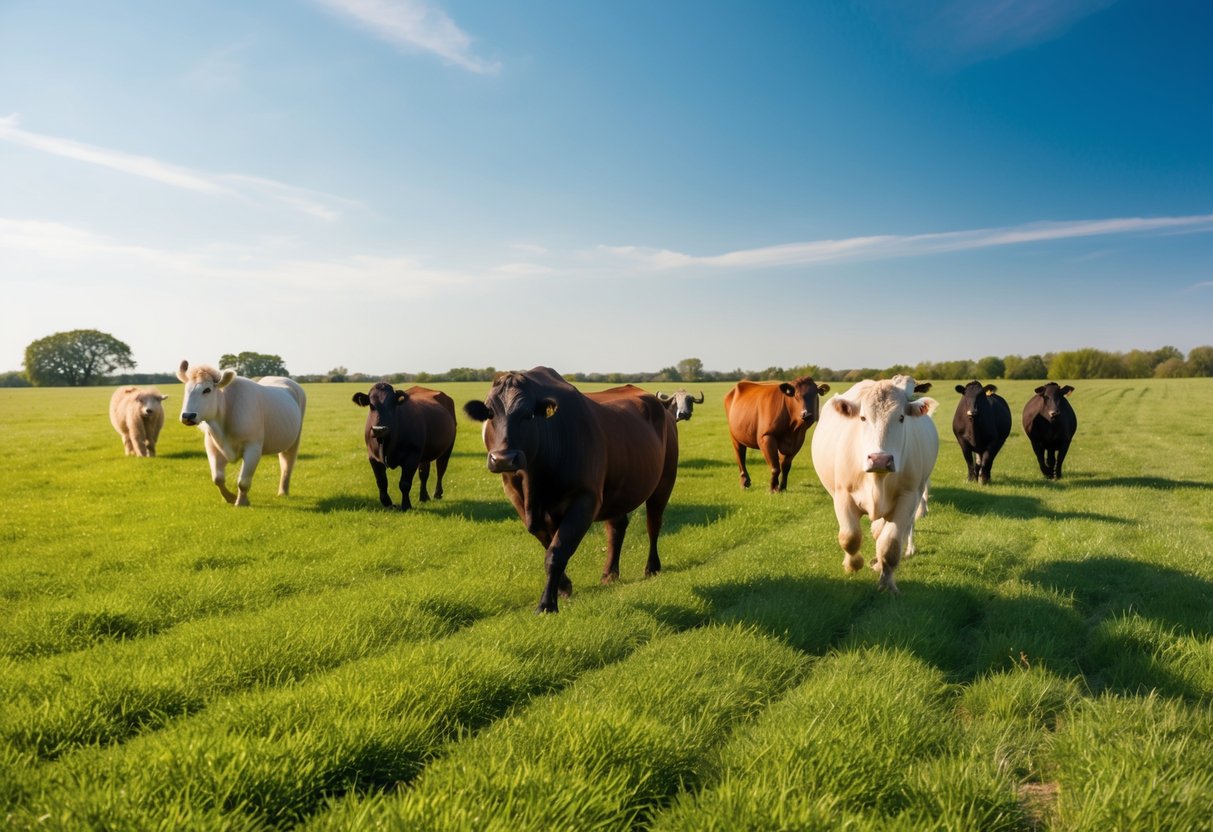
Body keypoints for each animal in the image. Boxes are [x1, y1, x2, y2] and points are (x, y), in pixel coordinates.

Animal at [177, 358, 305, 509]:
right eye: (186, 389)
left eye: (207, 390)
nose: (188, 416)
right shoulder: (212, 446)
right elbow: (217, 478)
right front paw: (230, 497)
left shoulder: (253, 447)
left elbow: (243, 481)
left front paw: (241, 502)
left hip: (295, 439)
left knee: (287, 464)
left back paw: (283, 491)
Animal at [356, 383, 460, 511]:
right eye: (371, 405)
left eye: (392, 404)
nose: (379, 429)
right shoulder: (373, 457)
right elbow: (381, 482)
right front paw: (388, 504)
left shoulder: (412, 456)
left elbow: (404, 483)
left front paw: (406, 505)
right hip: (424, 454)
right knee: (424, 474)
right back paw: (423, 497)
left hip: (448, 447)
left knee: (441, 468)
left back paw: (437, 493)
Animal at [460, 371, 679, 613]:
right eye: (489, 413)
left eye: (528, 414)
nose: (503, 459)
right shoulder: (519, 500)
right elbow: (548, 544)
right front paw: (563, 588)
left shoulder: (585, 499)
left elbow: (557, 551)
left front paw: (547, 604)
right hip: (618, 489)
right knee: (616, 528)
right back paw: (609, 574)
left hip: (664, 482)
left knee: (653, 523)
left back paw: (652, 567)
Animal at [810, 378, 941, 594]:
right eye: (862, 418)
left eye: (901, 417)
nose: (880, 459)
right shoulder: (842, 495)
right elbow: (850, 537)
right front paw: (852, 565)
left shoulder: (908, 496)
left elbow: (890, 544)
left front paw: (886, 582)